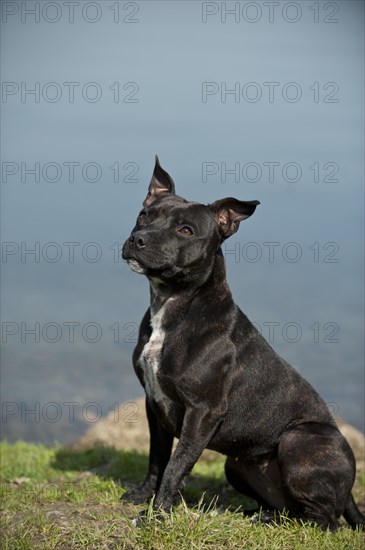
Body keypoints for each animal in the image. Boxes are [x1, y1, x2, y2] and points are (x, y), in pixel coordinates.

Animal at [122, 156, 364, 536]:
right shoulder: (153, 404)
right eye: (144, 215)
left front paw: (157, 516)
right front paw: (143, 496)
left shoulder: (203, 412)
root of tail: (351, 492)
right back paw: (261, 515)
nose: (138, 239)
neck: (173, 305)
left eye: (186, 230)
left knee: (327, 520)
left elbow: (176, 466)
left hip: (298, 440)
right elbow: (156, 458)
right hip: (236, 466)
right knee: (292, 508)